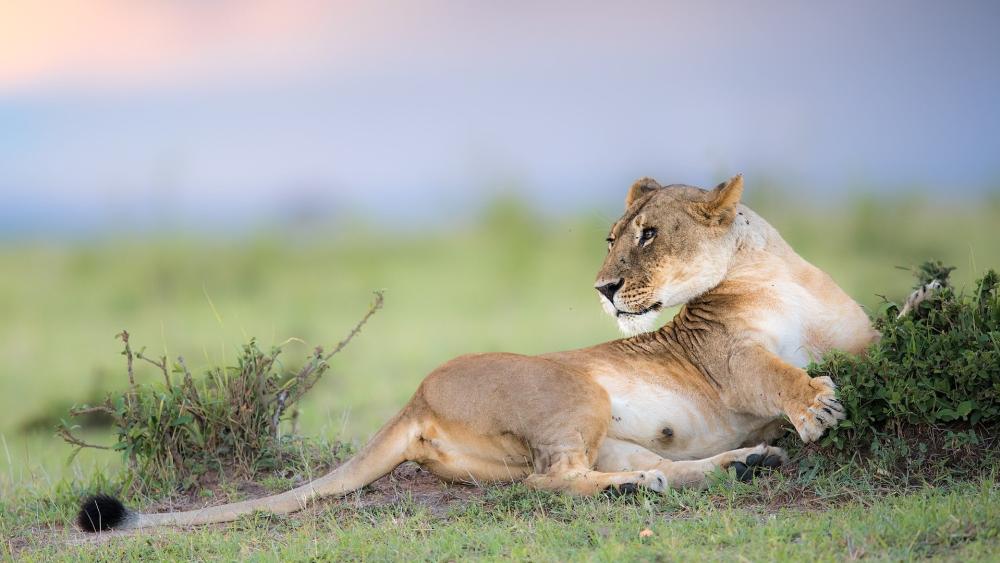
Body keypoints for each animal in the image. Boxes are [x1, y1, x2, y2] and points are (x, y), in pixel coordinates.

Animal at [78, 175, 878, 532]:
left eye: (649, 233)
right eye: (612, 235)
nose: (602, 287)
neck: (771, 268)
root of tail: (415, 396)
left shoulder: (857, 335)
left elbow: (882, 335)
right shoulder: (729, 360)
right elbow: (775, 371)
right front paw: (816, 405)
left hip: (610, 434)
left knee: (642, 468)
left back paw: (743, 464)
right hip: (576, 394)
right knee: (550, 480)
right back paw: (639, 488)